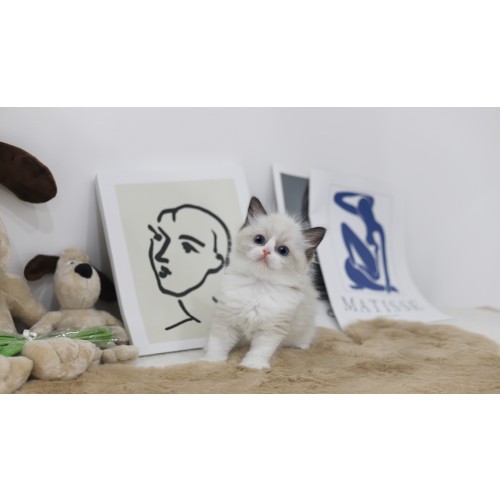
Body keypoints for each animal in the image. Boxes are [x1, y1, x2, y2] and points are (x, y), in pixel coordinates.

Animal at [203, 196, 326, 369]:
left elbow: (260, 351)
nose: (266, 251)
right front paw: (212, 362)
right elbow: (218, 344)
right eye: (259, 240)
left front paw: (251, 366)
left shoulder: (271, 330)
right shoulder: (226, 320)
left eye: (283, 251)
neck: (258, 285)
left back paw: (301, 346)